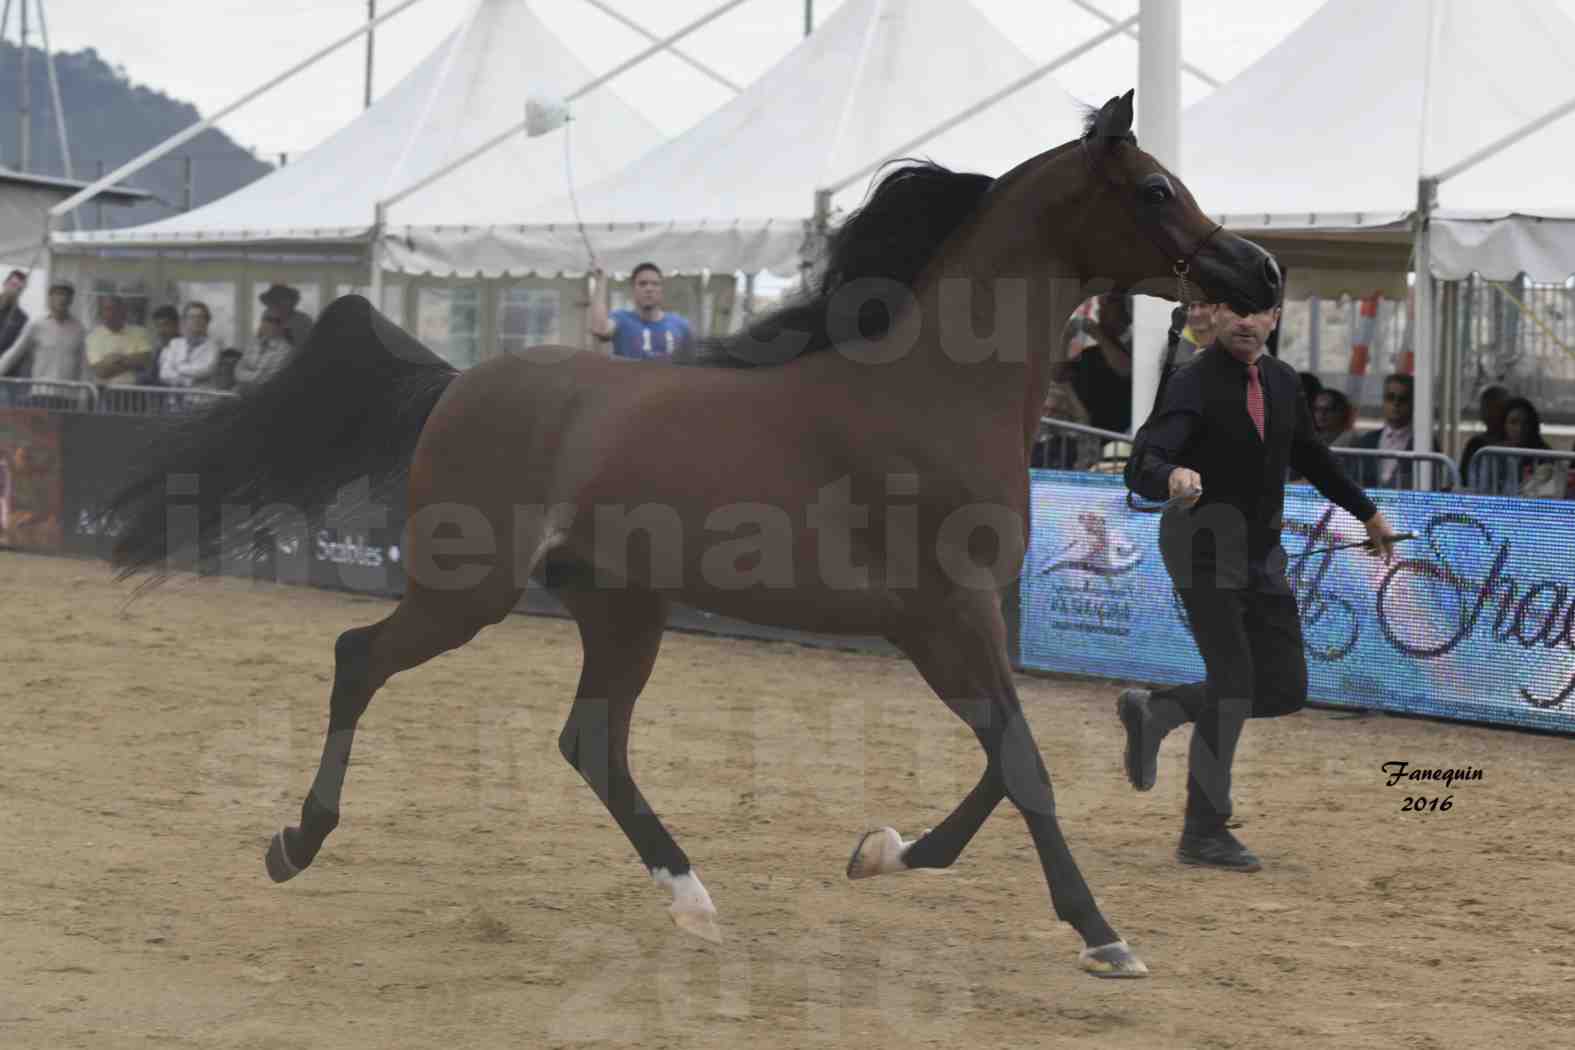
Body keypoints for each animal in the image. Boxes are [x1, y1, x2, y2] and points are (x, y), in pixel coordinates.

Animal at [116, 90, 1285, 976]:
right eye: (1154, 188)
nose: (1261, 275)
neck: (933, 393)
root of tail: (455, 382)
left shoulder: (969, 619)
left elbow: (1010, 759)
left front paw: (882, 852)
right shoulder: (940, 617)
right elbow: (1025, 764)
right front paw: (1102, 936)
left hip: (621, 606)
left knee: (590, 742)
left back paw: (690, 897)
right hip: (468, 589)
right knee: (360, 658)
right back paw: (294, 843)